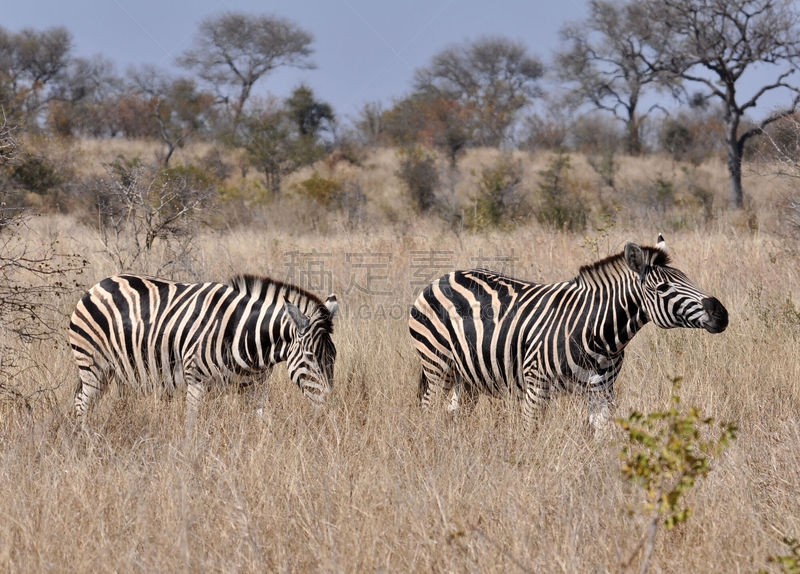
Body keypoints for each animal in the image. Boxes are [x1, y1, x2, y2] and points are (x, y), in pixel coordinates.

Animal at [69, 274, 340, 432]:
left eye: (333, 357)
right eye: (310, 358)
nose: (329, 410)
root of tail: (101, 283)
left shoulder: (255, 388)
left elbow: (261, 424)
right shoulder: (197, 382)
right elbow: (192, 426)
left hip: (118, 370)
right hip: (94, 364)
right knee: (82, 403)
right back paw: (85, 441)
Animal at [410, 237, 728, 432]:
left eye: (687, 278)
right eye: (663, 288)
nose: (721, 313)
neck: (599, 334)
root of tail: (442, 277)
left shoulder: (603, 391)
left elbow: (603, 438)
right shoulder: (536, 386)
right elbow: (531, 435)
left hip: (467, 377)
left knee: (454, 414)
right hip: (438, 366)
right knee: (428, 410)